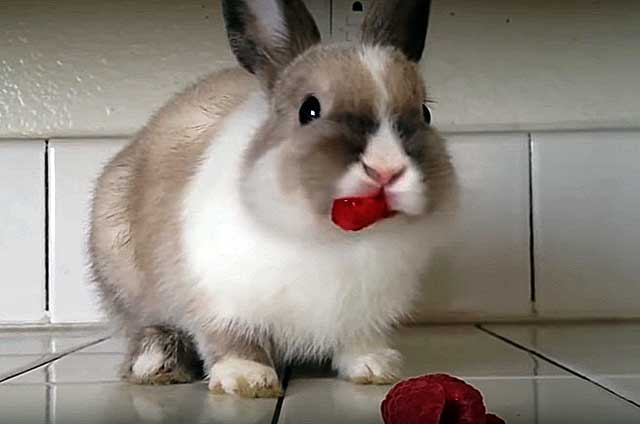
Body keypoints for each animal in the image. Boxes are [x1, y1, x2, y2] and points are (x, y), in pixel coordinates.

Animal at [89, 0, 457, 398]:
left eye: (425, 113)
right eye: (309, 110)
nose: (387, 169)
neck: (331, 238)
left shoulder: (364, 315)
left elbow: (357, 341)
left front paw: (374, 367)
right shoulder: (220, 299)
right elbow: (232, 339)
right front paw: (247, 378)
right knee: (145, 326)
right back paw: (157, 363)